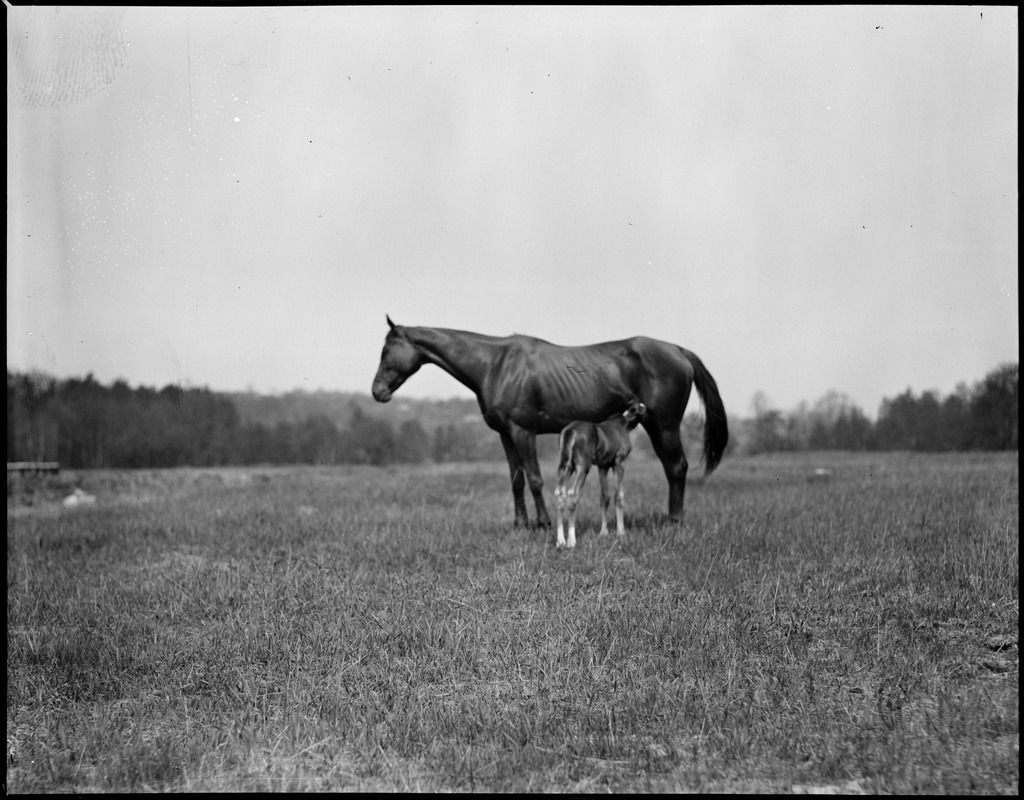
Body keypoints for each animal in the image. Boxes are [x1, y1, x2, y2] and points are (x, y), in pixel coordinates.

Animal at [552, 399, 647, 549]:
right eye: (641, 407)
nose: (647, 411)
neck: (625, 424)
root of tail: (569, 431)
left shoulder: (603, 466)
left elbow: (604, 497)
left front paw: (604, 532)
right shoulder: (619, 462)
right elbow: (618, 495)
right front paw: (621, 532)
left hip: (566, 466)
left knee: (559, 493)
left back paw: (560, 541)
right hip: (582, 466)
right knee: (572, 493)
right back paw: (571, 541)